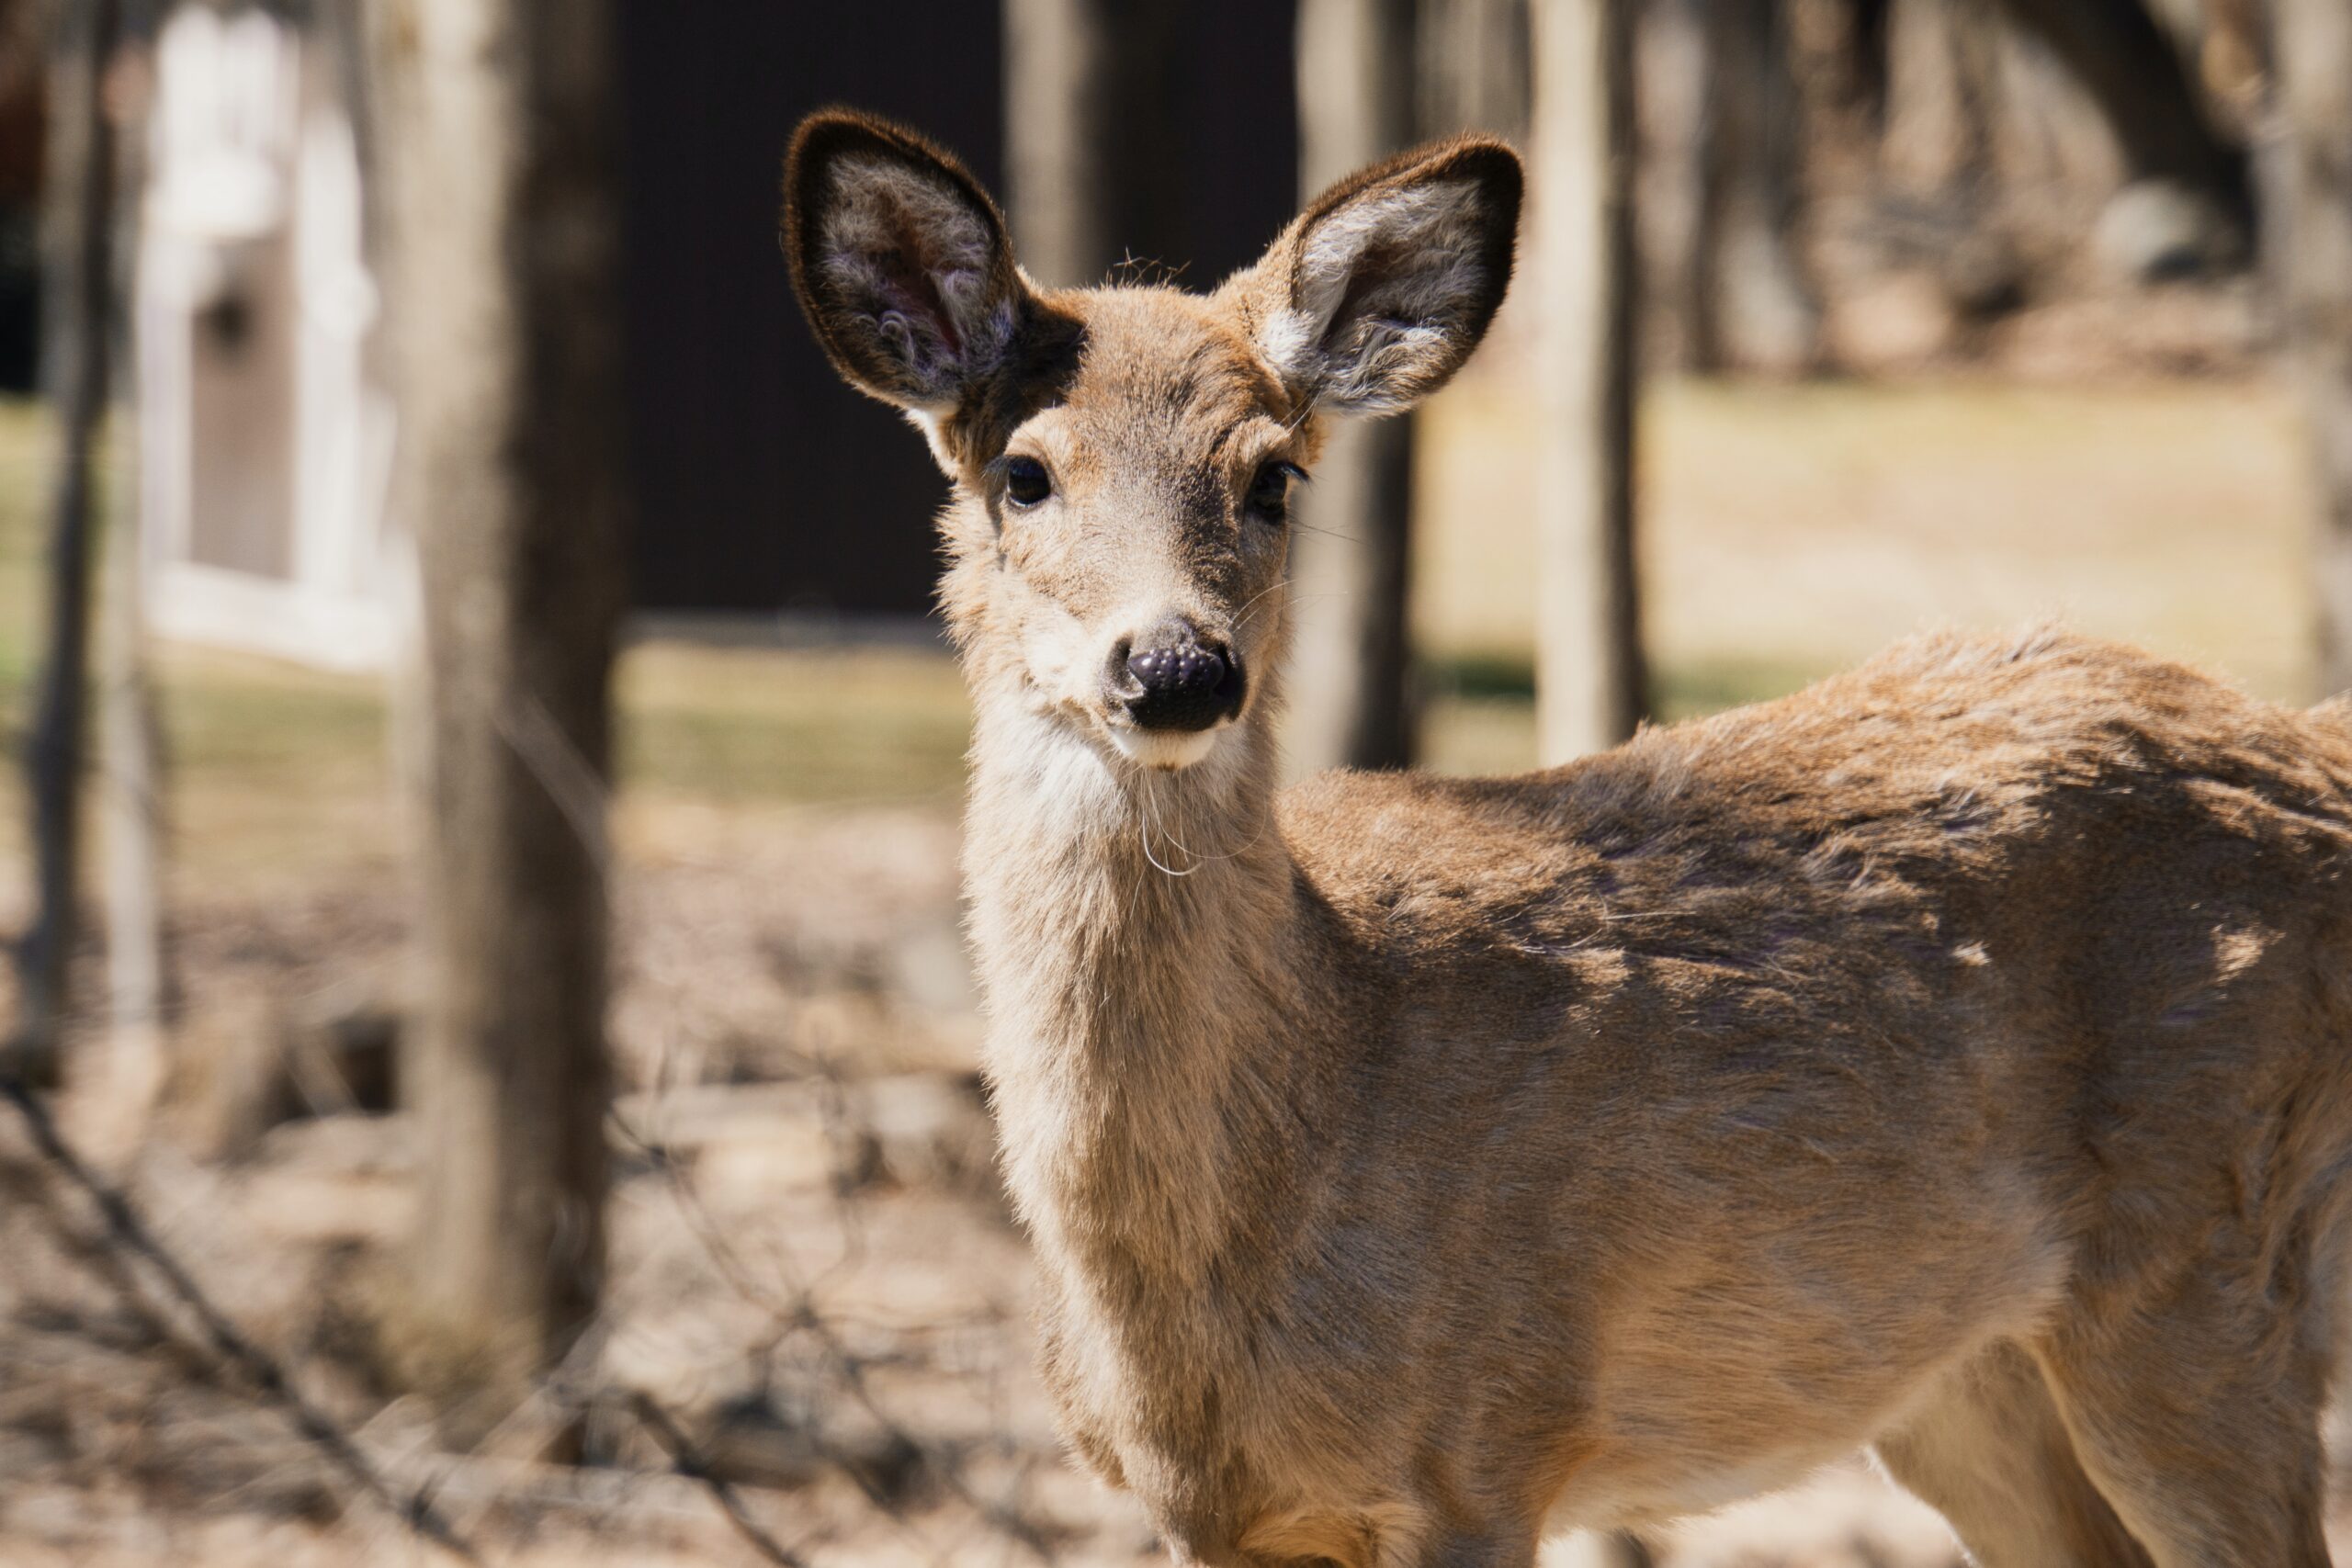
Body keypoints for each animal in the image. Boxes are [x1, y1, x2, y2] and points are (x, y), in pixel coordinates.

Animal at [780, 110, 2352, 1568]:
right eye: (1024, 472)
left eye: (1274, 475)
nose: (1176, 667)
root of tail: (2315, 754)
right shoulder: (1204, 1509)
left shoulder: (1485, 1431)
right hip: (1967, 1376)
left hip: (2208, 1258)